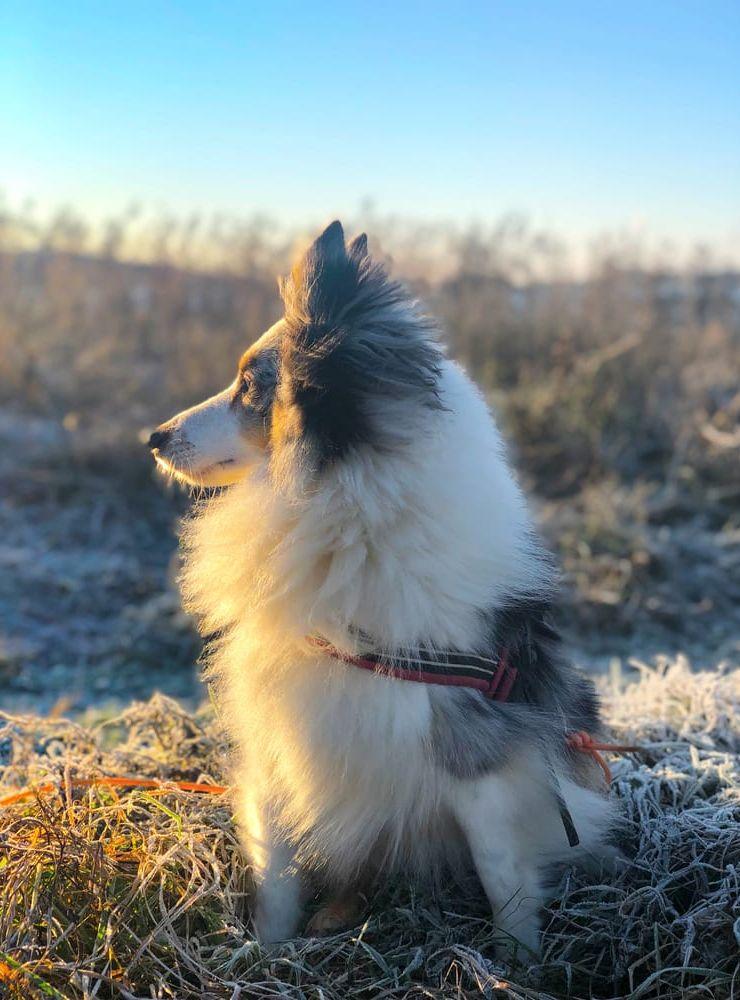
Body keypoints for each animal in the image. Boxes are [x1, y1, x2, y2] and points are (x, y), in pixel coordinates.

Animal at [147, 223, 616, 956]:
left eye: (250, 387)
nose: (155, 437)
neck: (343, 516)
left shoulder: (474, 756)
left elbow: (503, 876)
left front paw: (517, 963)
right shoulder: (277, 731)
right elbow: (276, 872)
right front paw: (269, 955)